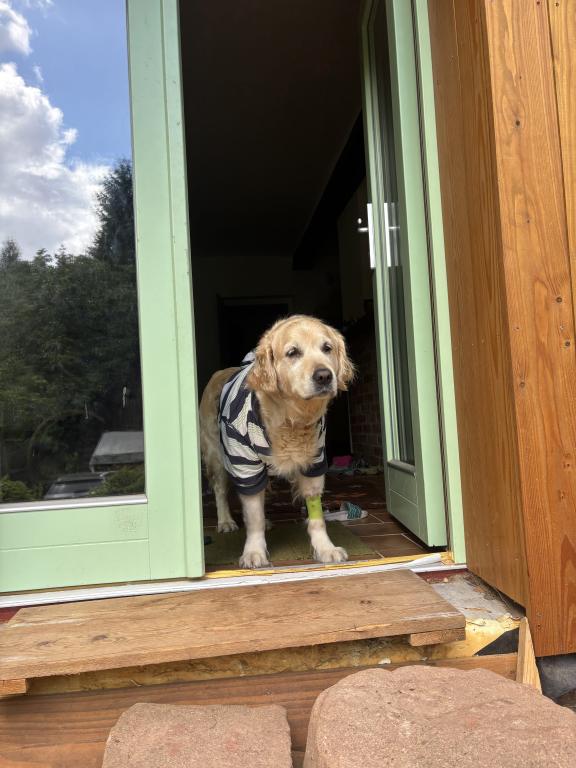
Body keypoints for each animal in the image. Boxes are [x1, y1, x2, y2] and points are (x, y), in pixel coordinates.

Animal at [199, 314, 354, 568]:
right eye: (293, 352)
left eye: (327, 348)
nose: (324, 376)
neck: (290, 418)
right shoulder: (245, 465)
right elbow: (253, 517)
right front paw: (254, 552)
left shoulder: (315, 462)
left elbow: (317, 516)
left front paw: (325, 548)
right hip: (216, 456)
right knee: (220, 490)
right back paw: (226, 522)